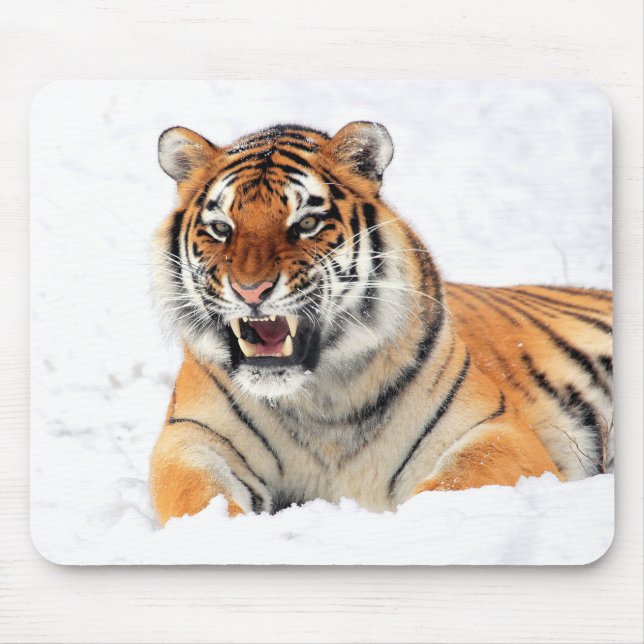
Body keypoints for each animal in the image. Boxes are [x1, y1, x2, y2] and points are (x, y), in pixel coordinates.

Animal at [150, 121, 613, 525]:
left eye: (306, 224)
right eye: (220, 228)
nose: (250, 290)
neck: (320, 400)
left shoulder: (495, 428)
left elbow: (460, 479)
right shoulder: (192, 437)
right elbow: (196, 493)